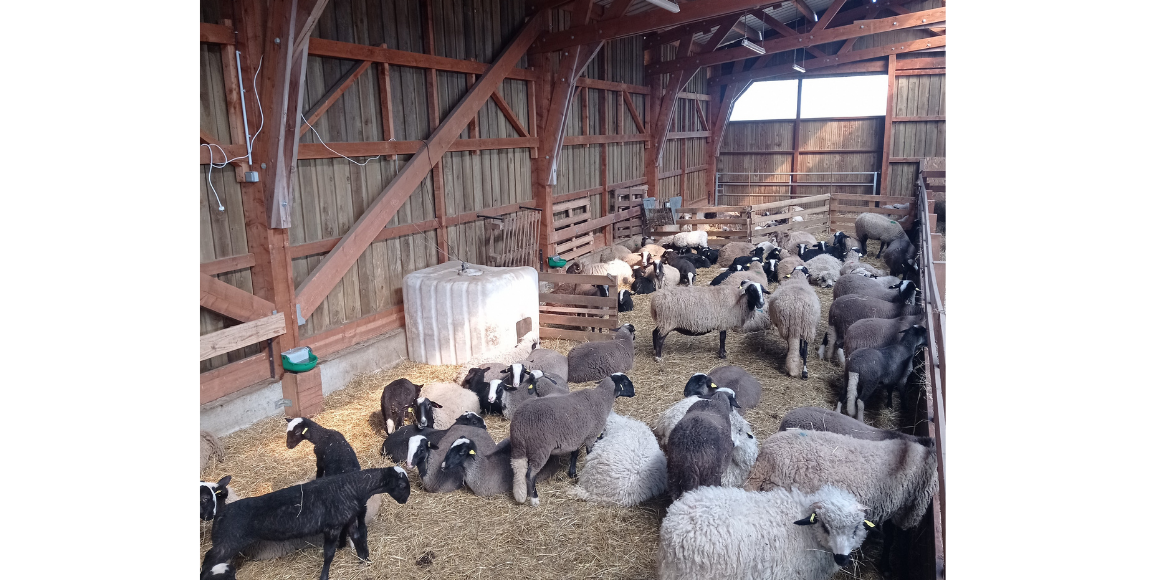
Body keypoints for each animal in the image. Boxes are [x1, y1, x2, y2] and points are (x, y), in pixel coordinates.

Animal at [196, 467, 407, 580]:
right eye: (402, 485)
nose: (405, 500)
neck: (353, 487)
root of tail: (219, 514)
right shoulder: (332, 527)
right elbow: (329, 554)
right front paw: (324, 576)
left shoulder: (347, 521)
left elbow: (358, 539)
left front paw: (365, 561)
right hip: (226, 543)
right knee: (208, 561)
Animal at [507, 374, 636, 505]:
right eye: (625, 382)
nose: (634, 393)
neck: (602, 398)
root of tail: (519, 423)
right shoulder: (591, 436)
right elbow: (590, 453)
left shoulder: (575, 437)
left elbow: (574, 454)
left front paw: (572, 472)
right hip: (539, 449)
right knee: (530, 474)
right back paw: (534, 499)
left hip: (518, 447)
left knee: (518, 469)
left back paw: (520, 495)